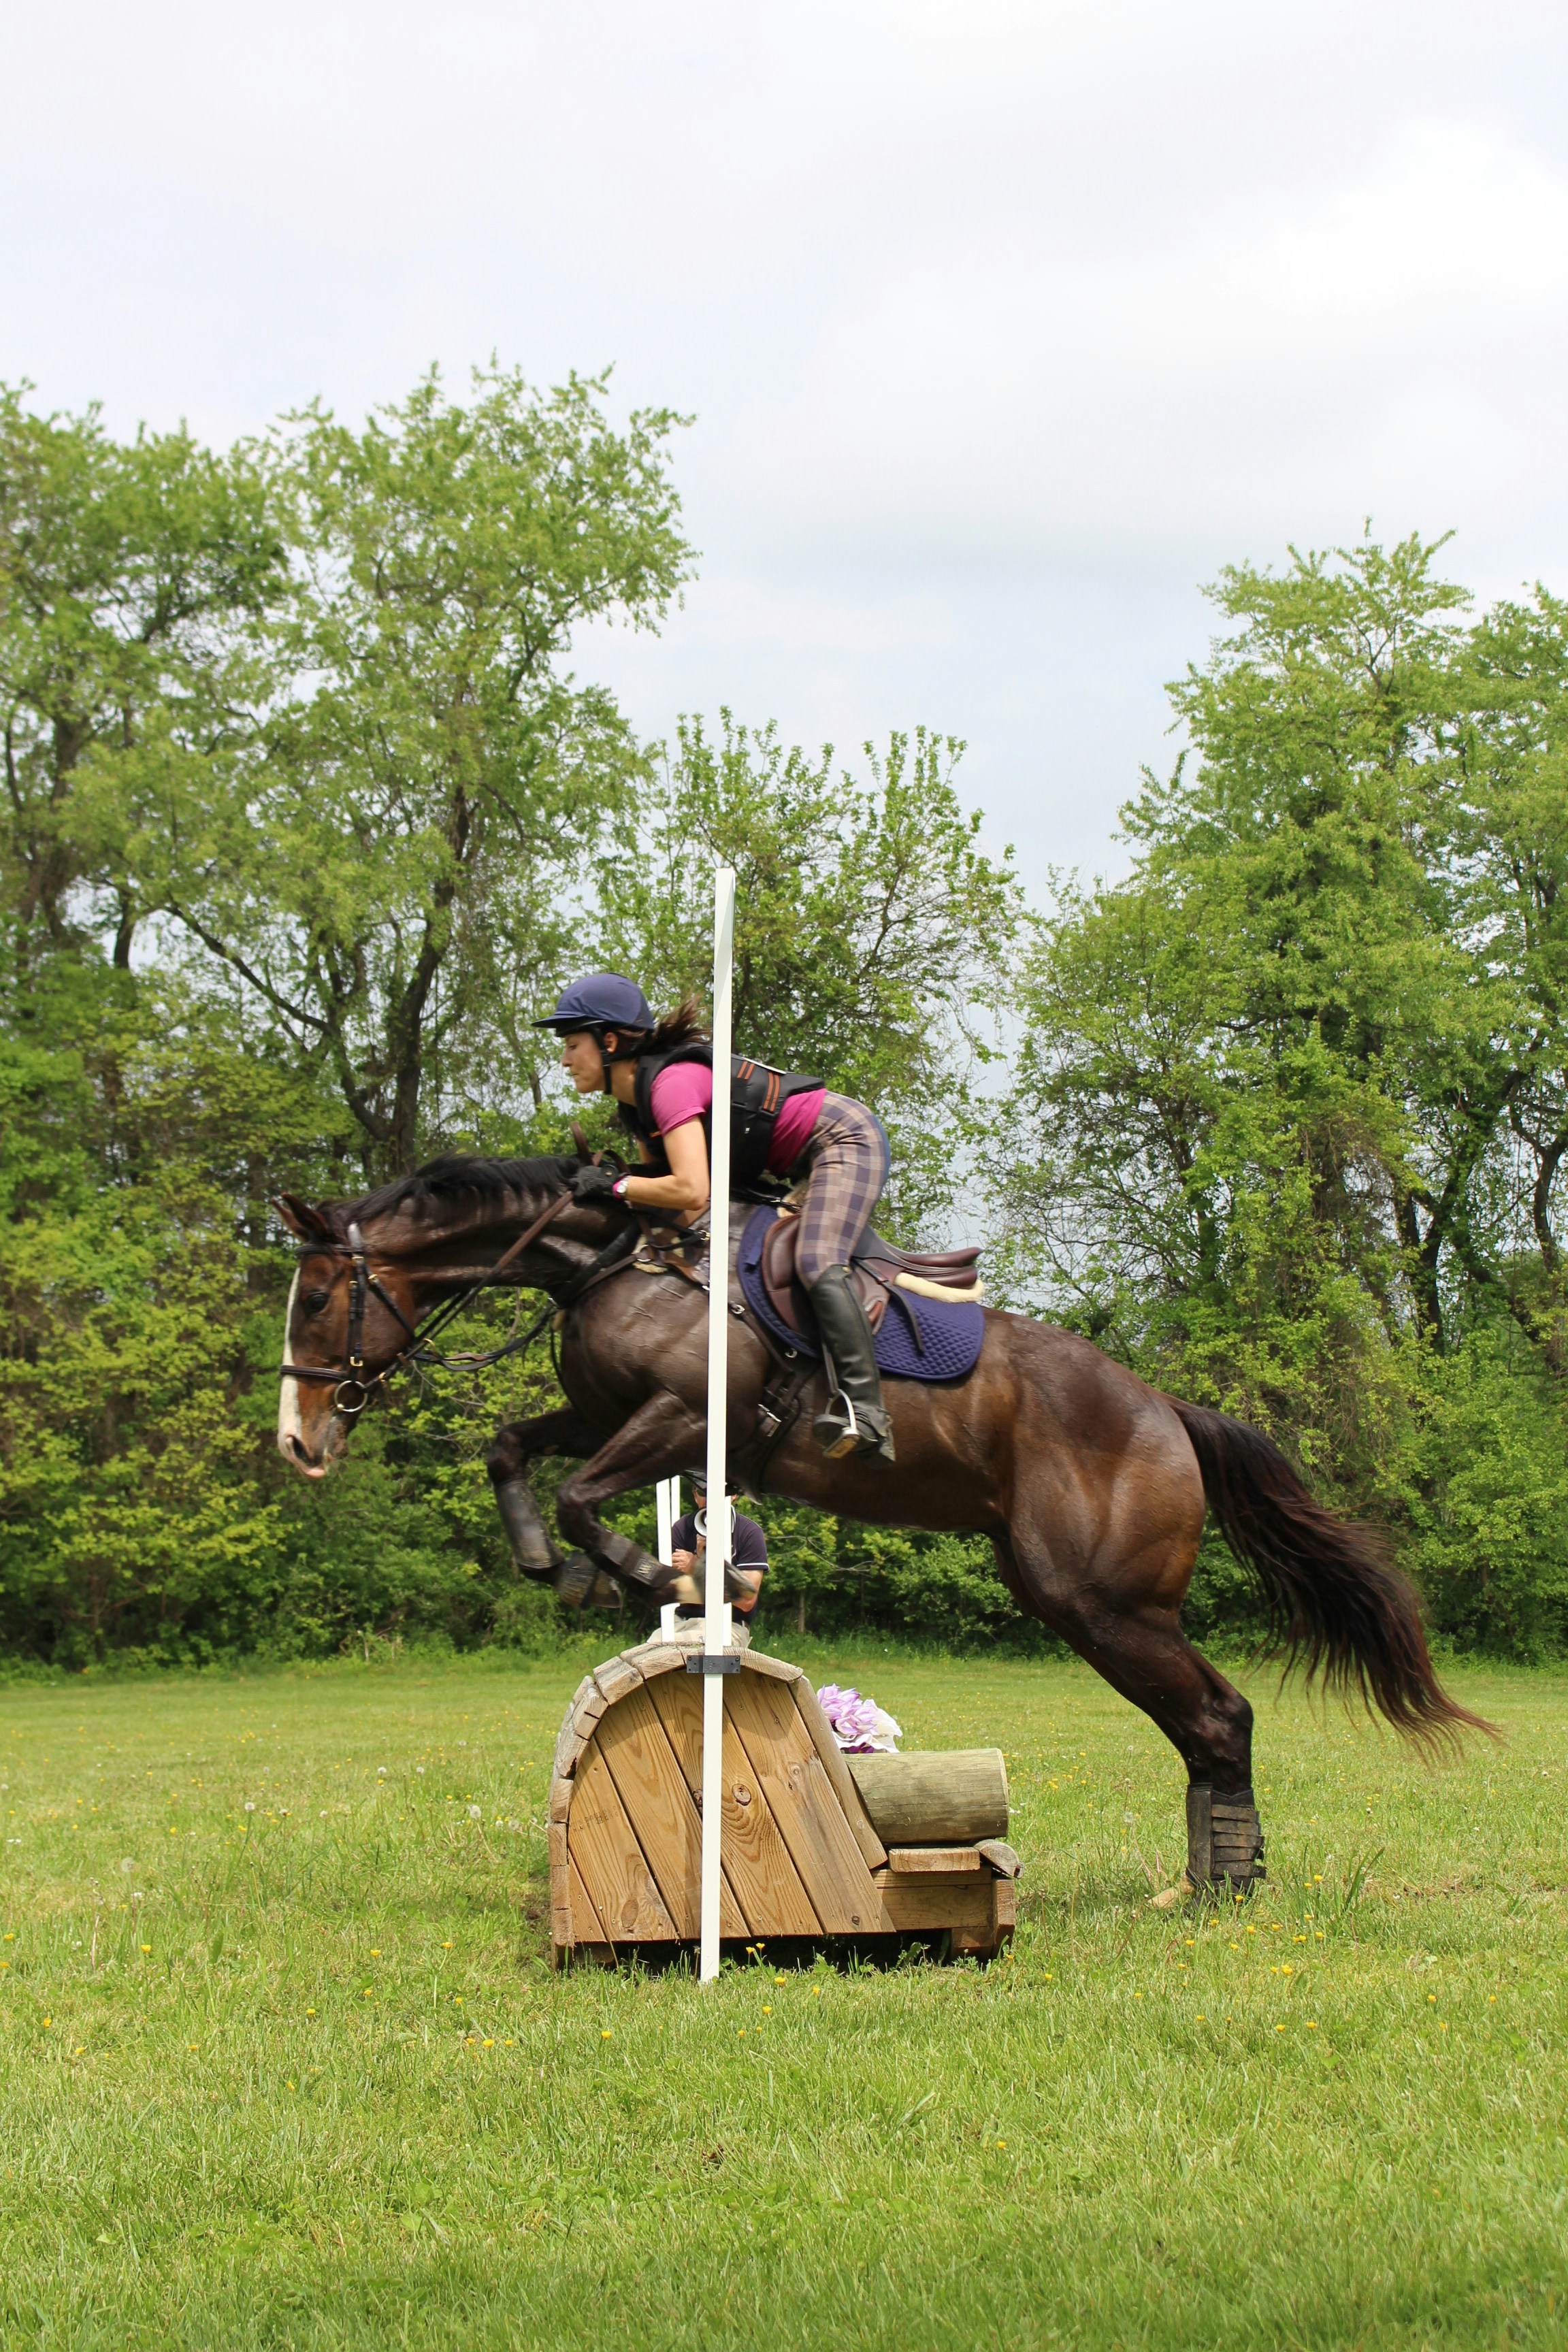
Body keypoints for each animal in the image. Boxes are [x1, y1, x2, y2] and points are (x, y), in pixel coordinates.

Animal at [276, 1152, 1494, 1891]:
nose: (297, 1442)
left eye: (321, 1299)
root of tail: (1167, 1412)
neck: (612, 1264)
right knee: (1203, 1725)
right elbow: (513, 1449)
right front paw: (555, 1566)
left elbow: (583, 1495)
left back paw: (1221, 1890)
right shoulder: (607, 1414)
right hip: (1078, 1603)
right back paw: (1209, 1882)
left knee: (1220, 1716)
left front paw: (645, 1577)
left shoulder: (683, 1418)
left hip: (1104, 1602)